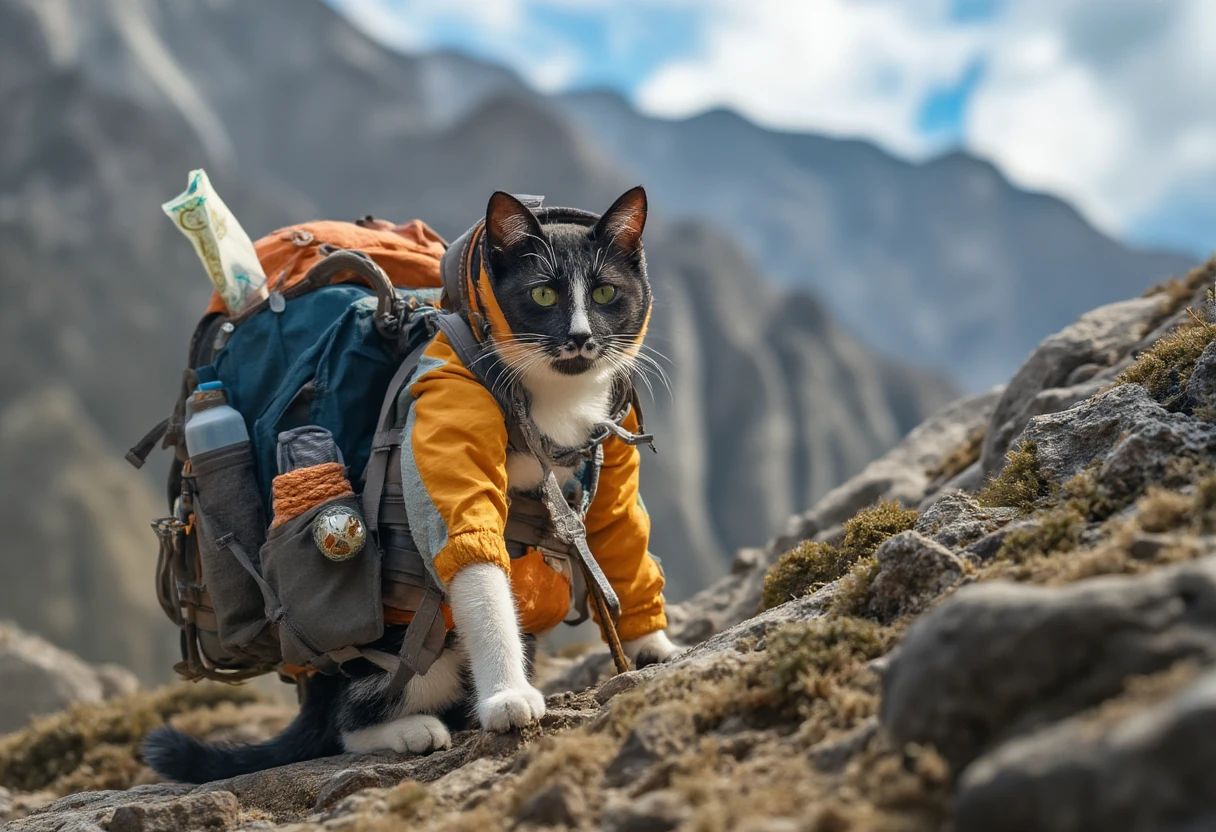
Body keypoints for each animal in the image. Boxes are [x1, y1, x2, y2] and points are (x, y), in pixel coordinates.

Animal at [144, 184, 676, 783]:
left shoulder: (615, 432)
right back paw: (409, 730)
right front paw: (508, 697)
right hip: (401, 652)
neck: (553, 403)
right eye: (542, 294)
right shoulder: (448, 407)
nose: (581, 338)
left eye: (607, 291)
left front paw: (653, 645)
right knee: (346, 726)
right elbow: (470, 557)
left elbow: (620, 532)